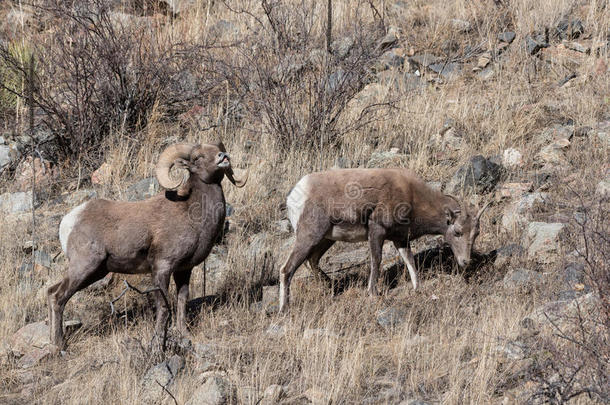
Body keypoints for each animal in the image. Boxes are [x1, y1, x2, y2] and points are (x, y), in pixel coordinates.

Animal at [48, 143, 246, 348]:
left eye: (215, 149)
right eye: (198, 157)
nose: (223, 156)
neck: (192, 213)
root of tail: (69, 221)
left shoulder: (184, 270)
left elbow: (182, 302)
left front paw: (184, 335)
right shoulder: (162, 268)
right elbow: (164, 307)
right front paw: (158, 342)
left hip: (96, 272)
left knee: (51, 292)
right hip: (84, 267)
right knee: (58, 297)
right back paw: (59, 344)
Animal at [278, 167, 486, 312]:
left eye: (475, 234)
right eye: (457, 232)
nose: (465, 262)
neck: (411, 194)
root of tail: (296, 194)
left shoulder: (400, 240)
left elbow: (410, 261)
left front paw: (417, 288)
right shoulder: (377, 230)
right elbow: (376, 260)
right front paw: (373, 292)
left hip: (326, 239)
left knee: (312, 260)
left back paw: (329, 289)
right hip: (309, 237)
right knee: (286, 269)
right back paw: (284, 308)